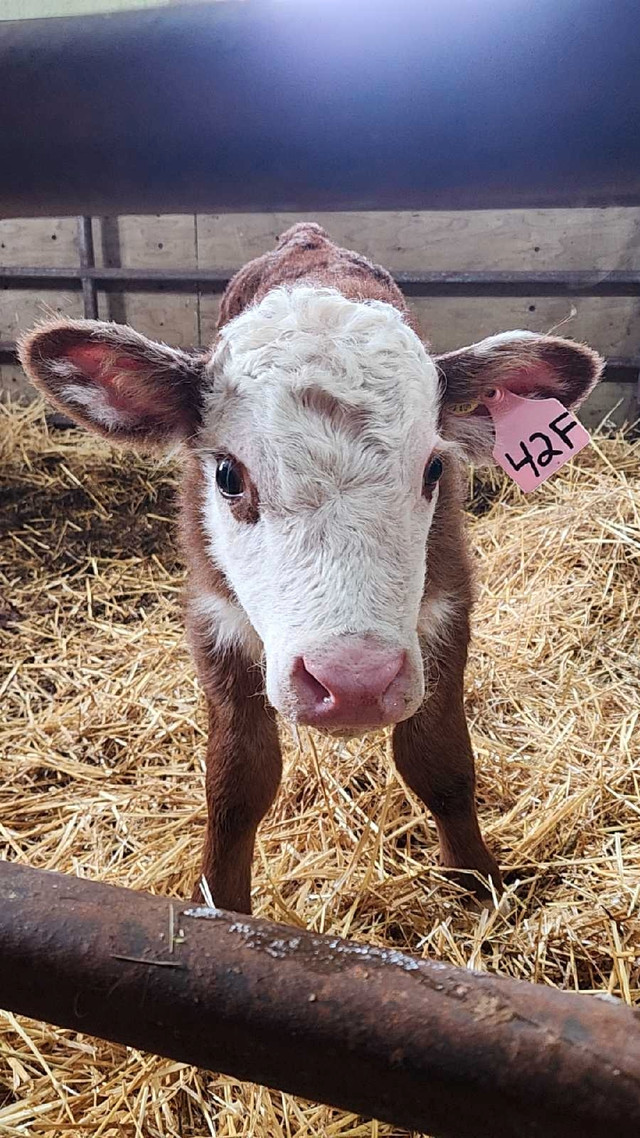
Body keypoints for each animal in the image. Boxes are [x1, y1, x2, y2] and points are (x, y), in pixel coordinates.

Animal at [17, 224, 601, 914]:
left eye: (433, 468)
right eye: (227, 474)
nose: (354, 682)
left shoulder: (448, 598)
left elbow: (441, 759)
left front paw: (479, 881)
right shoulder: (212, 614)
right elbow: (237, 781)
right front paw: (221, 902)